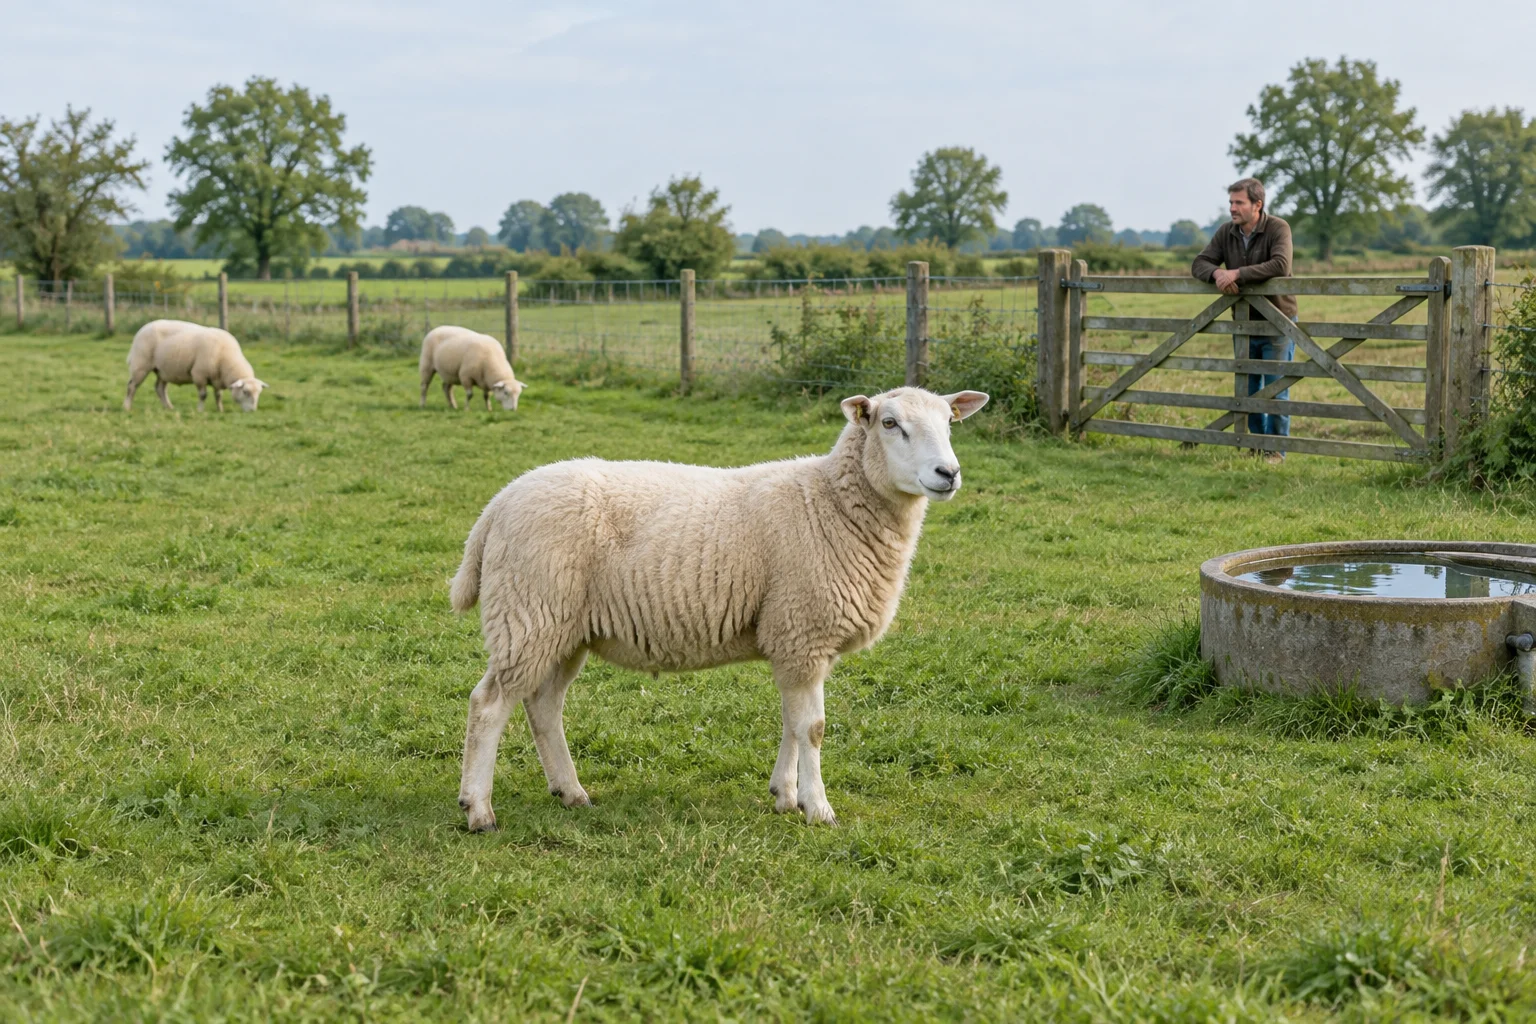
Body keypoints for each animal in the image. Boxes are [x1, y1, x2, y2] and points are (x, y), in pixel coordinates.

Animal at [124, 319, 267, 413]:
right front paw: (200, 410)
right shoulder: (199, 374)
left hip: (163, 370)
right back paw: (127, 407)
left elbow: (218, 395)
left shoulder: (217, 378)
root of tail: (143, 328)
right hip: (140, 364)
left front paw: (220, 409)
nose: (253, 411)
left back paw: (168, 407)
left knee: (160, 388)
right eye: (245, 392)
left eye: (259, 393)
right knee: (132, 386)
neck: (226, 359)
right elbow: (203, 395)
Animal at [450, 386, 989, 830]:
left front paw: (784, 795)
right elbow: (812, 729)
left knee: (543, 705)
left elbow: (791, 723)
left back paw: (570, 792)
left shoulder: (792, 639)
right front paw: (818, 808)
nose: (948, 473)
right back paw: (479, 809)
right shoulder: (803, 630)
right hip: (528, 612)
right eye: (889, 423)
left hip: (563, 628)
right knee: (489, 704)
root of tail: (497, 505)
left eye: (949, 422)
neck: (830, 503)